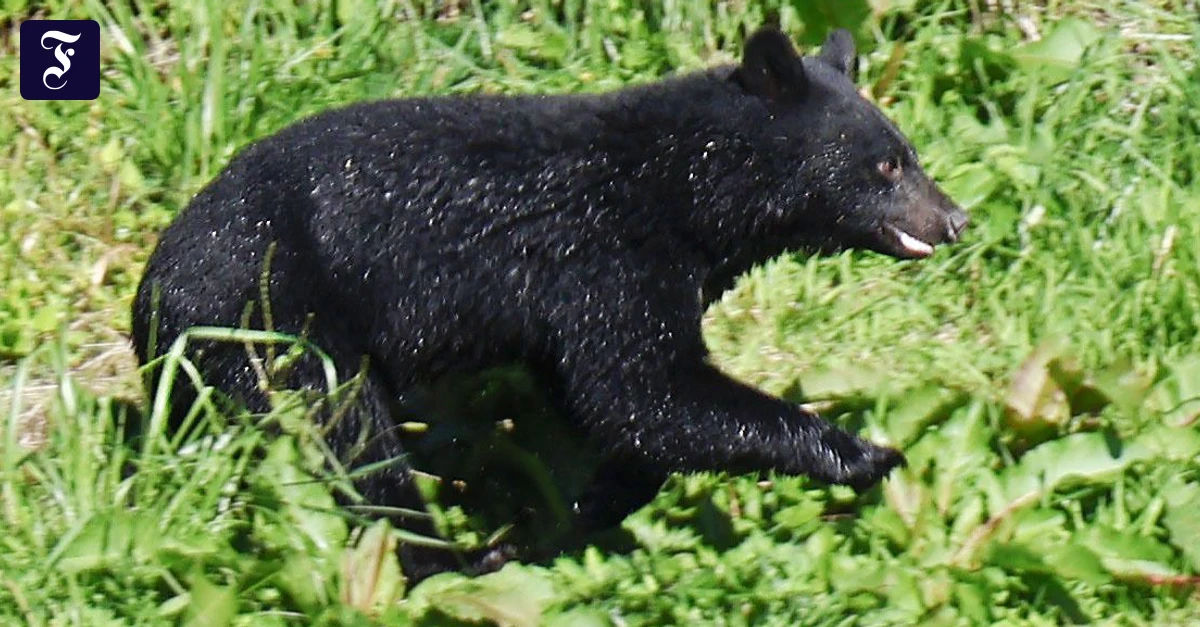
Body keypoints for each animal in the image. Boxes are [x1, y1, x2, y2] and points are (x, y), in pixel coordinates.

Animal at [131, 27, 967, 580]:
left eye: (908, 152)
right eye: (887, 165)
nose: (955, 218)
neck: (683, 189)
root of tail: (150, 300)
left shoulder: (564, 310)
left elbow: (606, 409)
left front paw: (574, 515)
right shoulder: (606, 259)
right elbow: (642, 391)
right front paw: (865, 452)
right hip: (271, 319)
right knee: (351, 436)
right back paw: (448, 560)